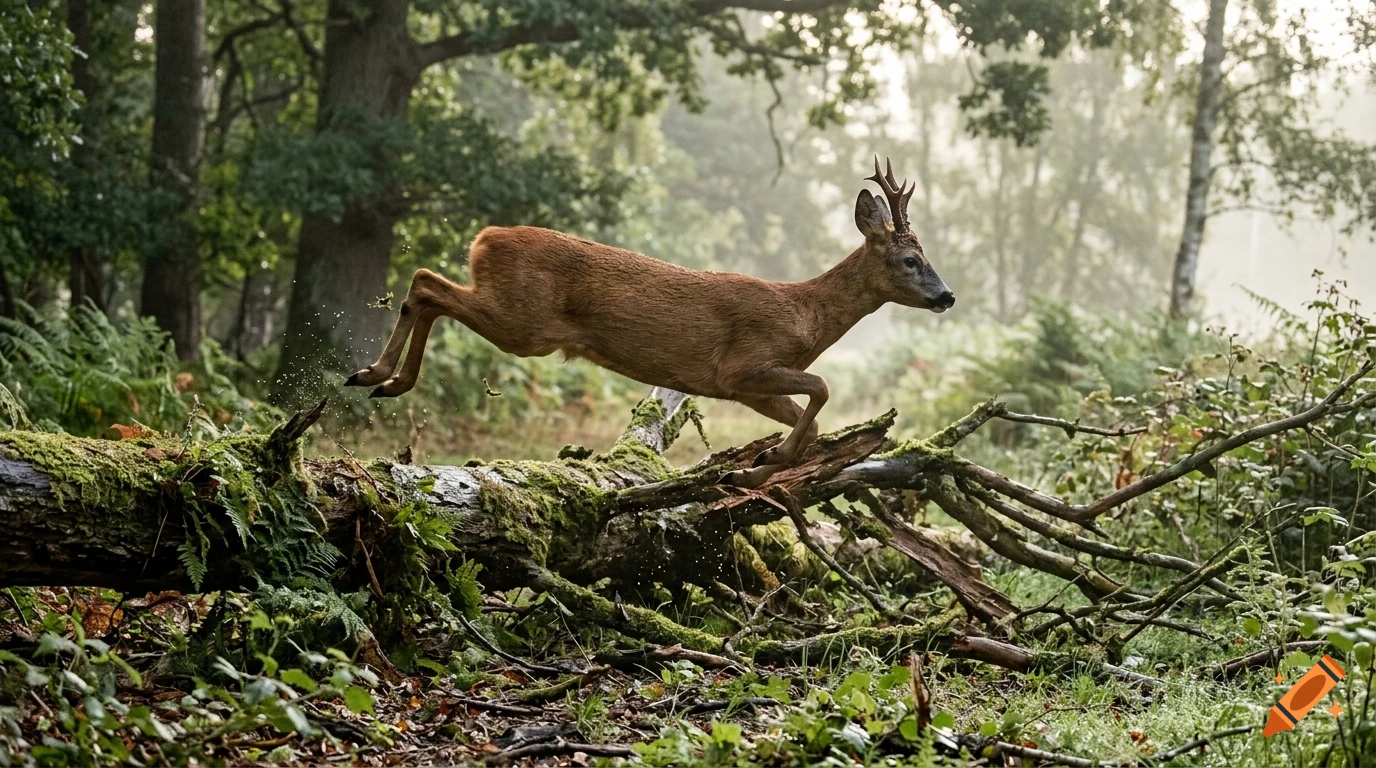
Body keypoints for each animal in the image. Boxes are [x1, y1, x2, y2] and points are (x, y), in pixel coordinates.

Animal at [345, 157, 954, 487]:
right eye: (910, 259)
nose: (947, 295)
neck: (806, 316)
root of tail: (484, 237)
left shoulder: (747, 389)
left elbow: (814, 428)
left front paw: (750, 469)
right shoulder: (742, 365)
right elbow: (824, 389)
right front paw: (765, 460)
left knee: (428, 291)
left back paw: (383, 380)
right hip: (522, 322)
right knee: (426, 281)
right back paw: (376, 375)